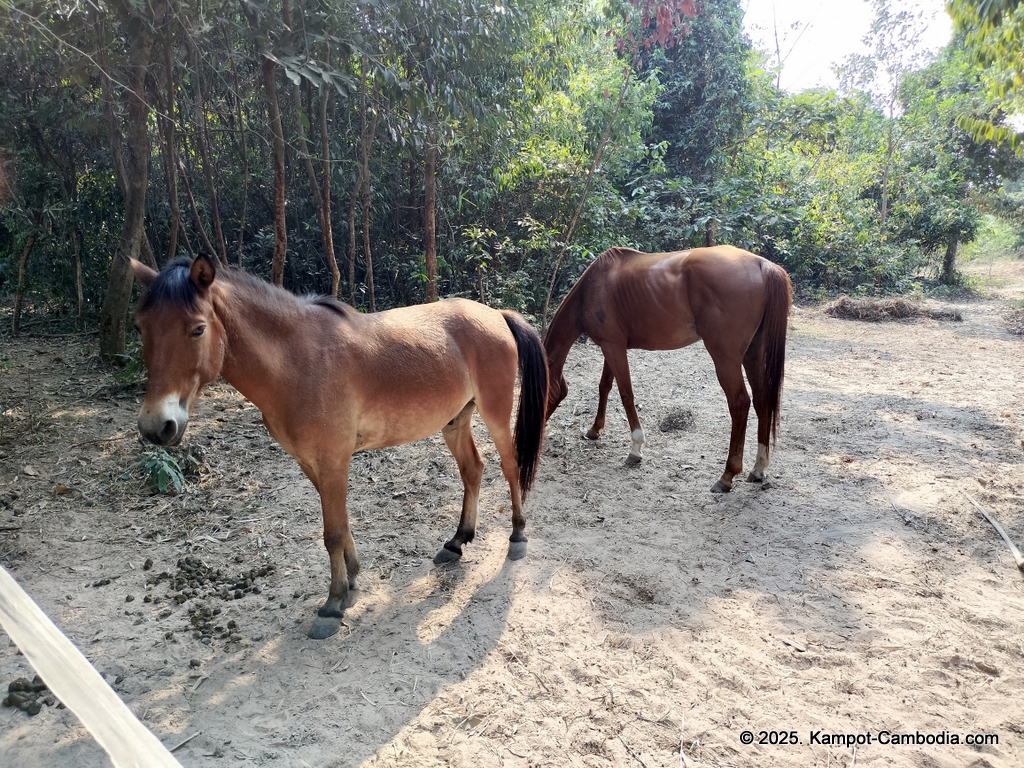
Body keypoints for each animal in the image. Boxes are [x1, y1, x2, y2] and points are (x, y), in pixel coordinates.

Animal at [131, 256, 548, 638]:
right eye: (142, 328)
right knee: (472, 470)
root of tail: (495, 315)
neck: (297, 364)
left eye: (197, 329)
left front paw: (331, 605)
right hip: (455, 421)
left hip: (495, 414)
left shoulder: (333, 460)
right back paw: (457, 542)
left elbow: (331, 532)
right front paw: (351, 582)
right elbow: (341, 524)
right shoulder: (311, 463)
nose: (157, 427)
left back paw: (517, 536)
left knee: (510, 466)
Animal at [544, 247, 790, 493]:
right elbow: (605, 386)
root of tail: (761, 264)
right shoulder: (611, 345)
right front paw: (595, 430)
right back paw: (758, 468)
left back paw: (727, 475)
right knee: (762, 400)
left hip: (725, 358)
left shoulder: (613, 347)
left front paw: (635, 448)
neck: (592, 288)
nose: (541, 425)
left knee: (739, 403)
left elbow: (626, 394)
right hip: (753, 353)